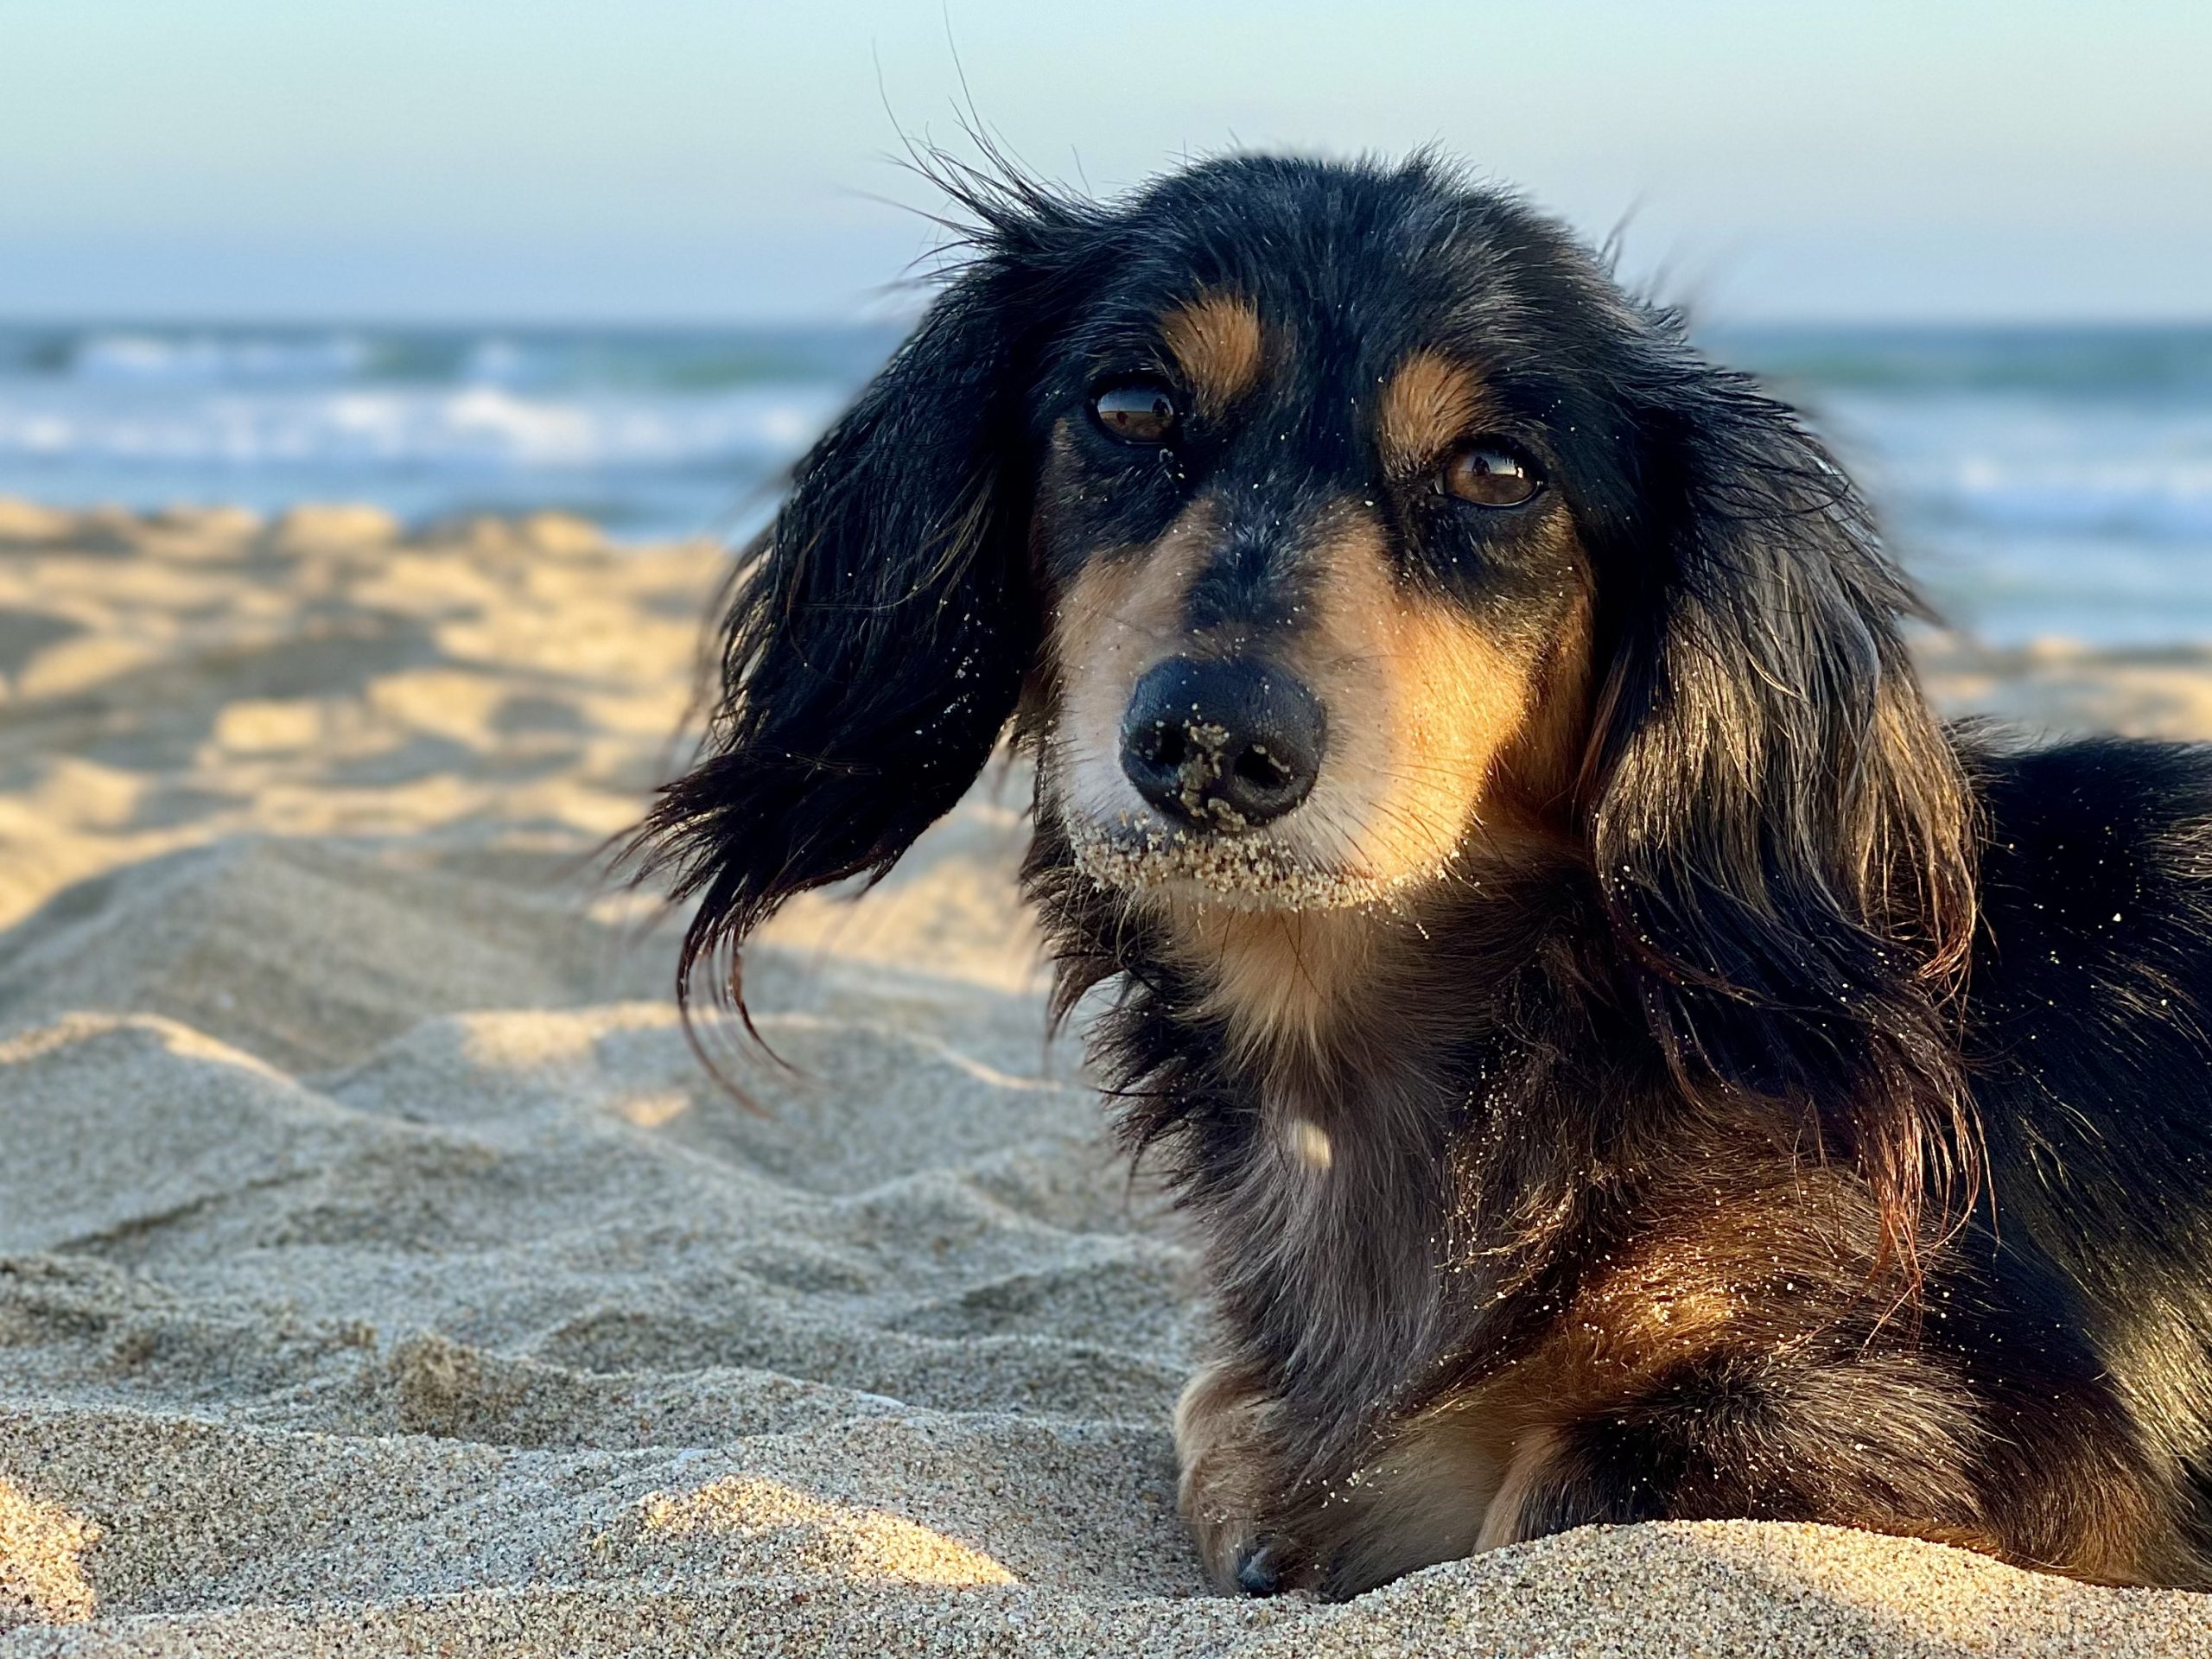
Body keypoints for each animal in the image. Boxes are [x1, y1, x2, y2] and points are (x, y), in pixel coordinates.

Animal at [619, 152, 2212, 1601]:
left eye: (1496, 472)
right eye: (1130, 408)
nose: (1214, 742)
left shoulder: (2006, 1430)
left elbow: (1563, 1484)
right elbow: (1226, 1417)